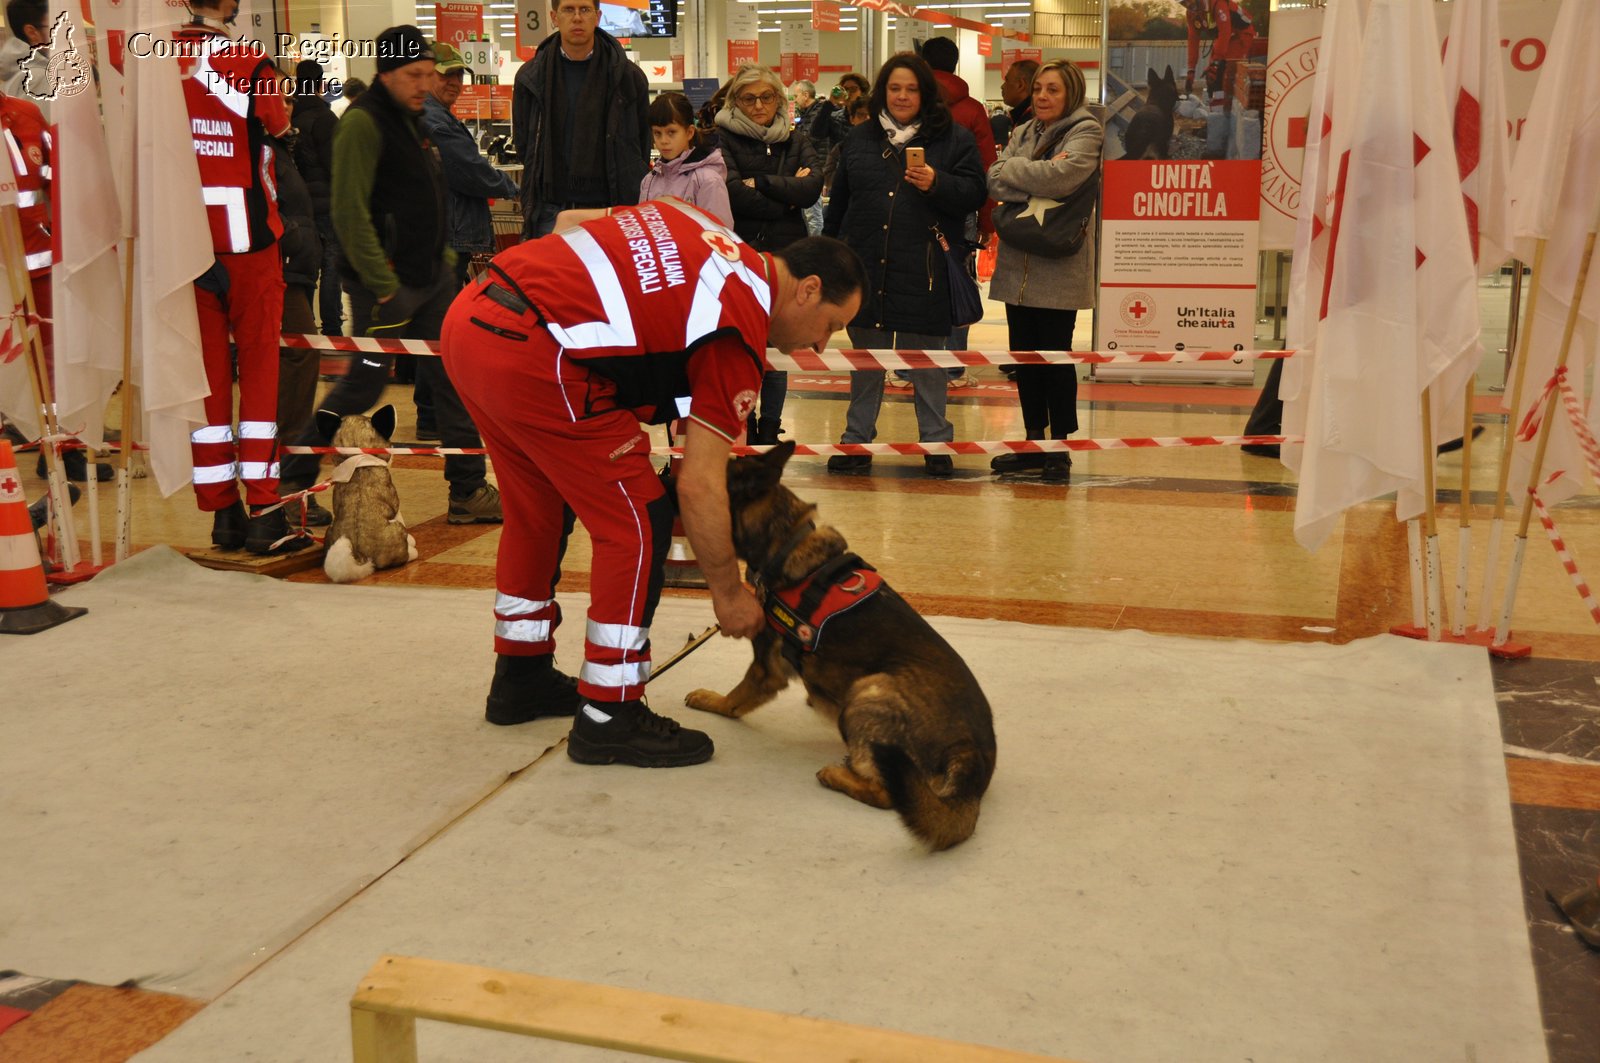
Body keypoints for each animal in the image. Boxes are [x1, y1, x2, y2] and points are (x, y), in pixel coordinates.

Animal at [681, 438, 992, 845]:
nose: (669, 473)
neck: (784, 541)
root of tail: (973, 756)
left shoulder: (765, 669)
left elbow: (733, 700)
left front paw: (711, 700)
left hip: (869, 689)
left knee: (886, 794)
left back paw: (837, 775)